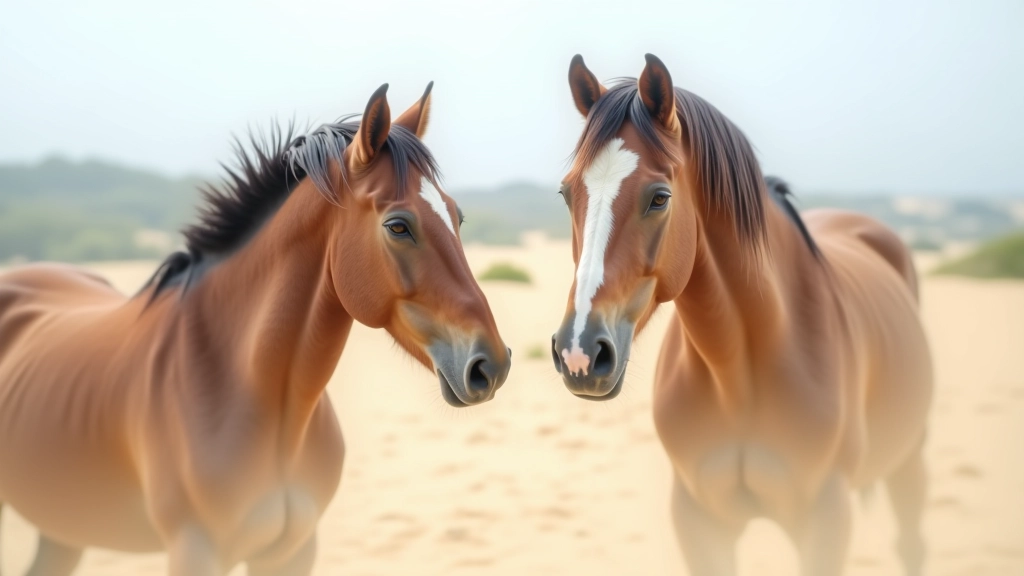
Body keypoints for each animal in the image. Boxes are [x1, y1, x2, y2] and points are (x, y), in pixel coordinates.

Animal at [0, 82, 511, 576]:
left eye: (457, 216)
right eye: (398, 226)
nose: (491, 366)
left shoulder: (293, 552)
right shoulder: (195, 552)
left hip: (63, 529)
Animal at [550, 54, 932, 575]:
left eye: (660, 197)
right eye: (568, 194)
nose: (580, 353)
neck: (739, 379)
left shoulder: (826, 522)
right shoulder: (698, 521)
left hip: (909, 460)